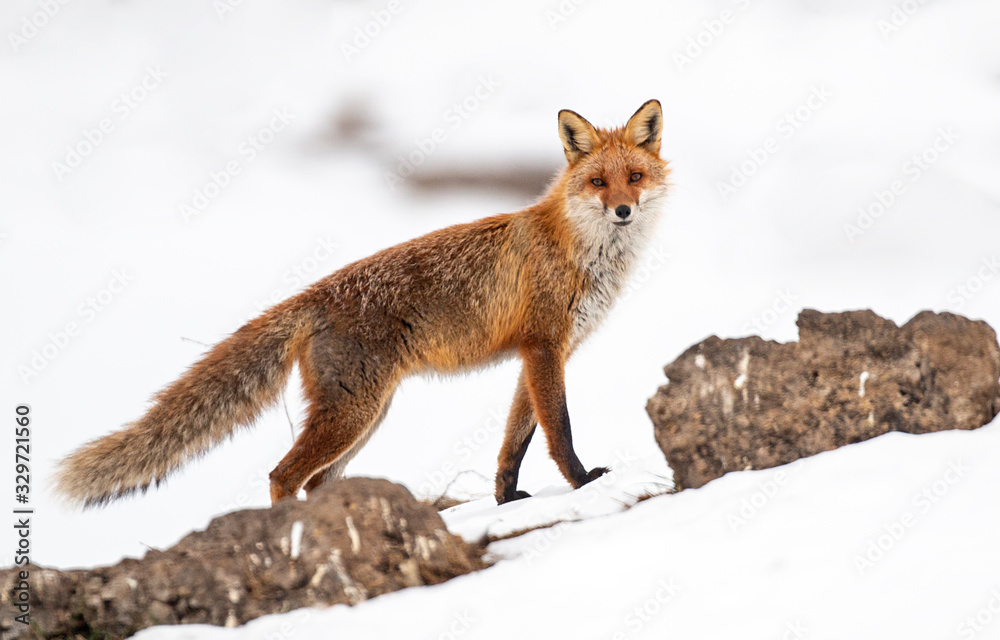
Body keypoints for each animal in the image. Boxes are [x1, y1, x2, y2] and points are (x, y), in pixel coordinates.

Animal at [54, 99, 670, 507]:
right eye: (598, 183)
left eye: (635, 177)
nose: (623, 211)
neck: (578, 250)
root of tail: (312, 296)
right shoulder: (544, 346)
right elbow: (559, 431)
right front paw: (584, 484)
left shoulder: (539, 352)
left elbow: (514, 441)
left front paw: (507, 500)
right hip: (353, 414)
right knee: (282, 476)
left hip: (366, 418)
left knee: (314, 482)